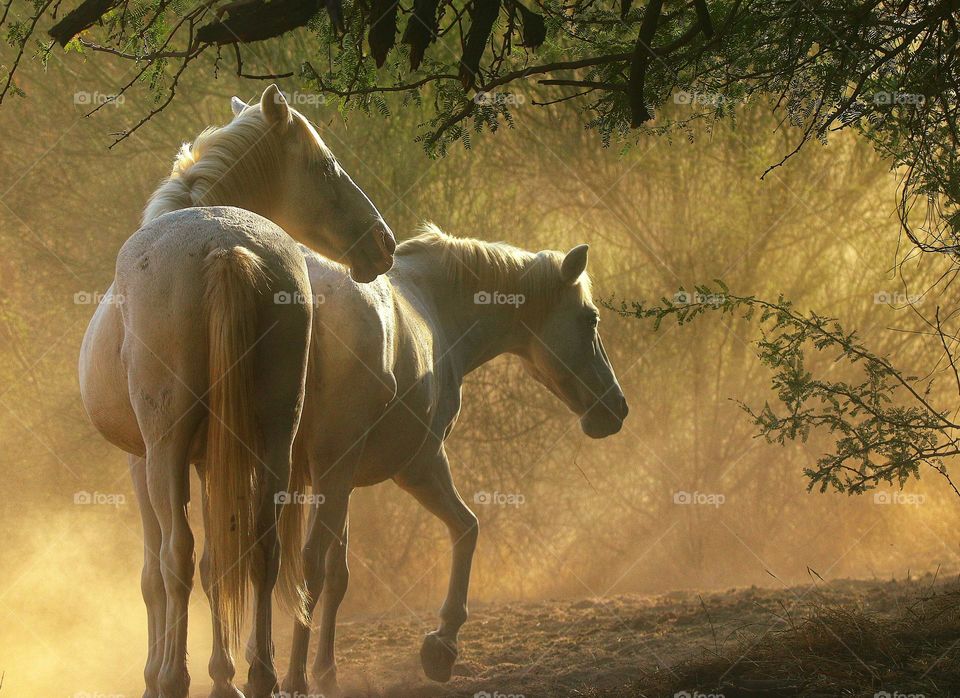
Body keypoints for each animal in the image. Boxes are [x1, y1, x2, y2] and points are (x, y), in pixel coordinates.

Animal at [78, 84, 396, 698]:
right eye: (325, 167)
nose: (383, 242)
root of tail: (226, 247)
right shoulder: (213, 459)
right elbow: (220, 560)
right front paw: (224, 672)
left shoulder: (142, 460)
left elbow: (157, 573)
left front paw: (159, 673)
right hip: (275, 440)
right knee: (263, 550)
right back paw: (261, 674)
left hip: (168, 449)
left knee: (178, 556)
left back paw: (176, 677)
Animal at [278, 224, 629, 695]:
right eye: (590, 318)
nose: (617, 407)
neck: (434, 303)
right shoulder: (418, 467)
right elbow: (467, 528)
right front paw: (442, 643)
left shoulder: (341, 483)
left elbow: (340, 577)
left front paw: (328, 672)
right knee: (305, 565)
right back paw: (293, 678)